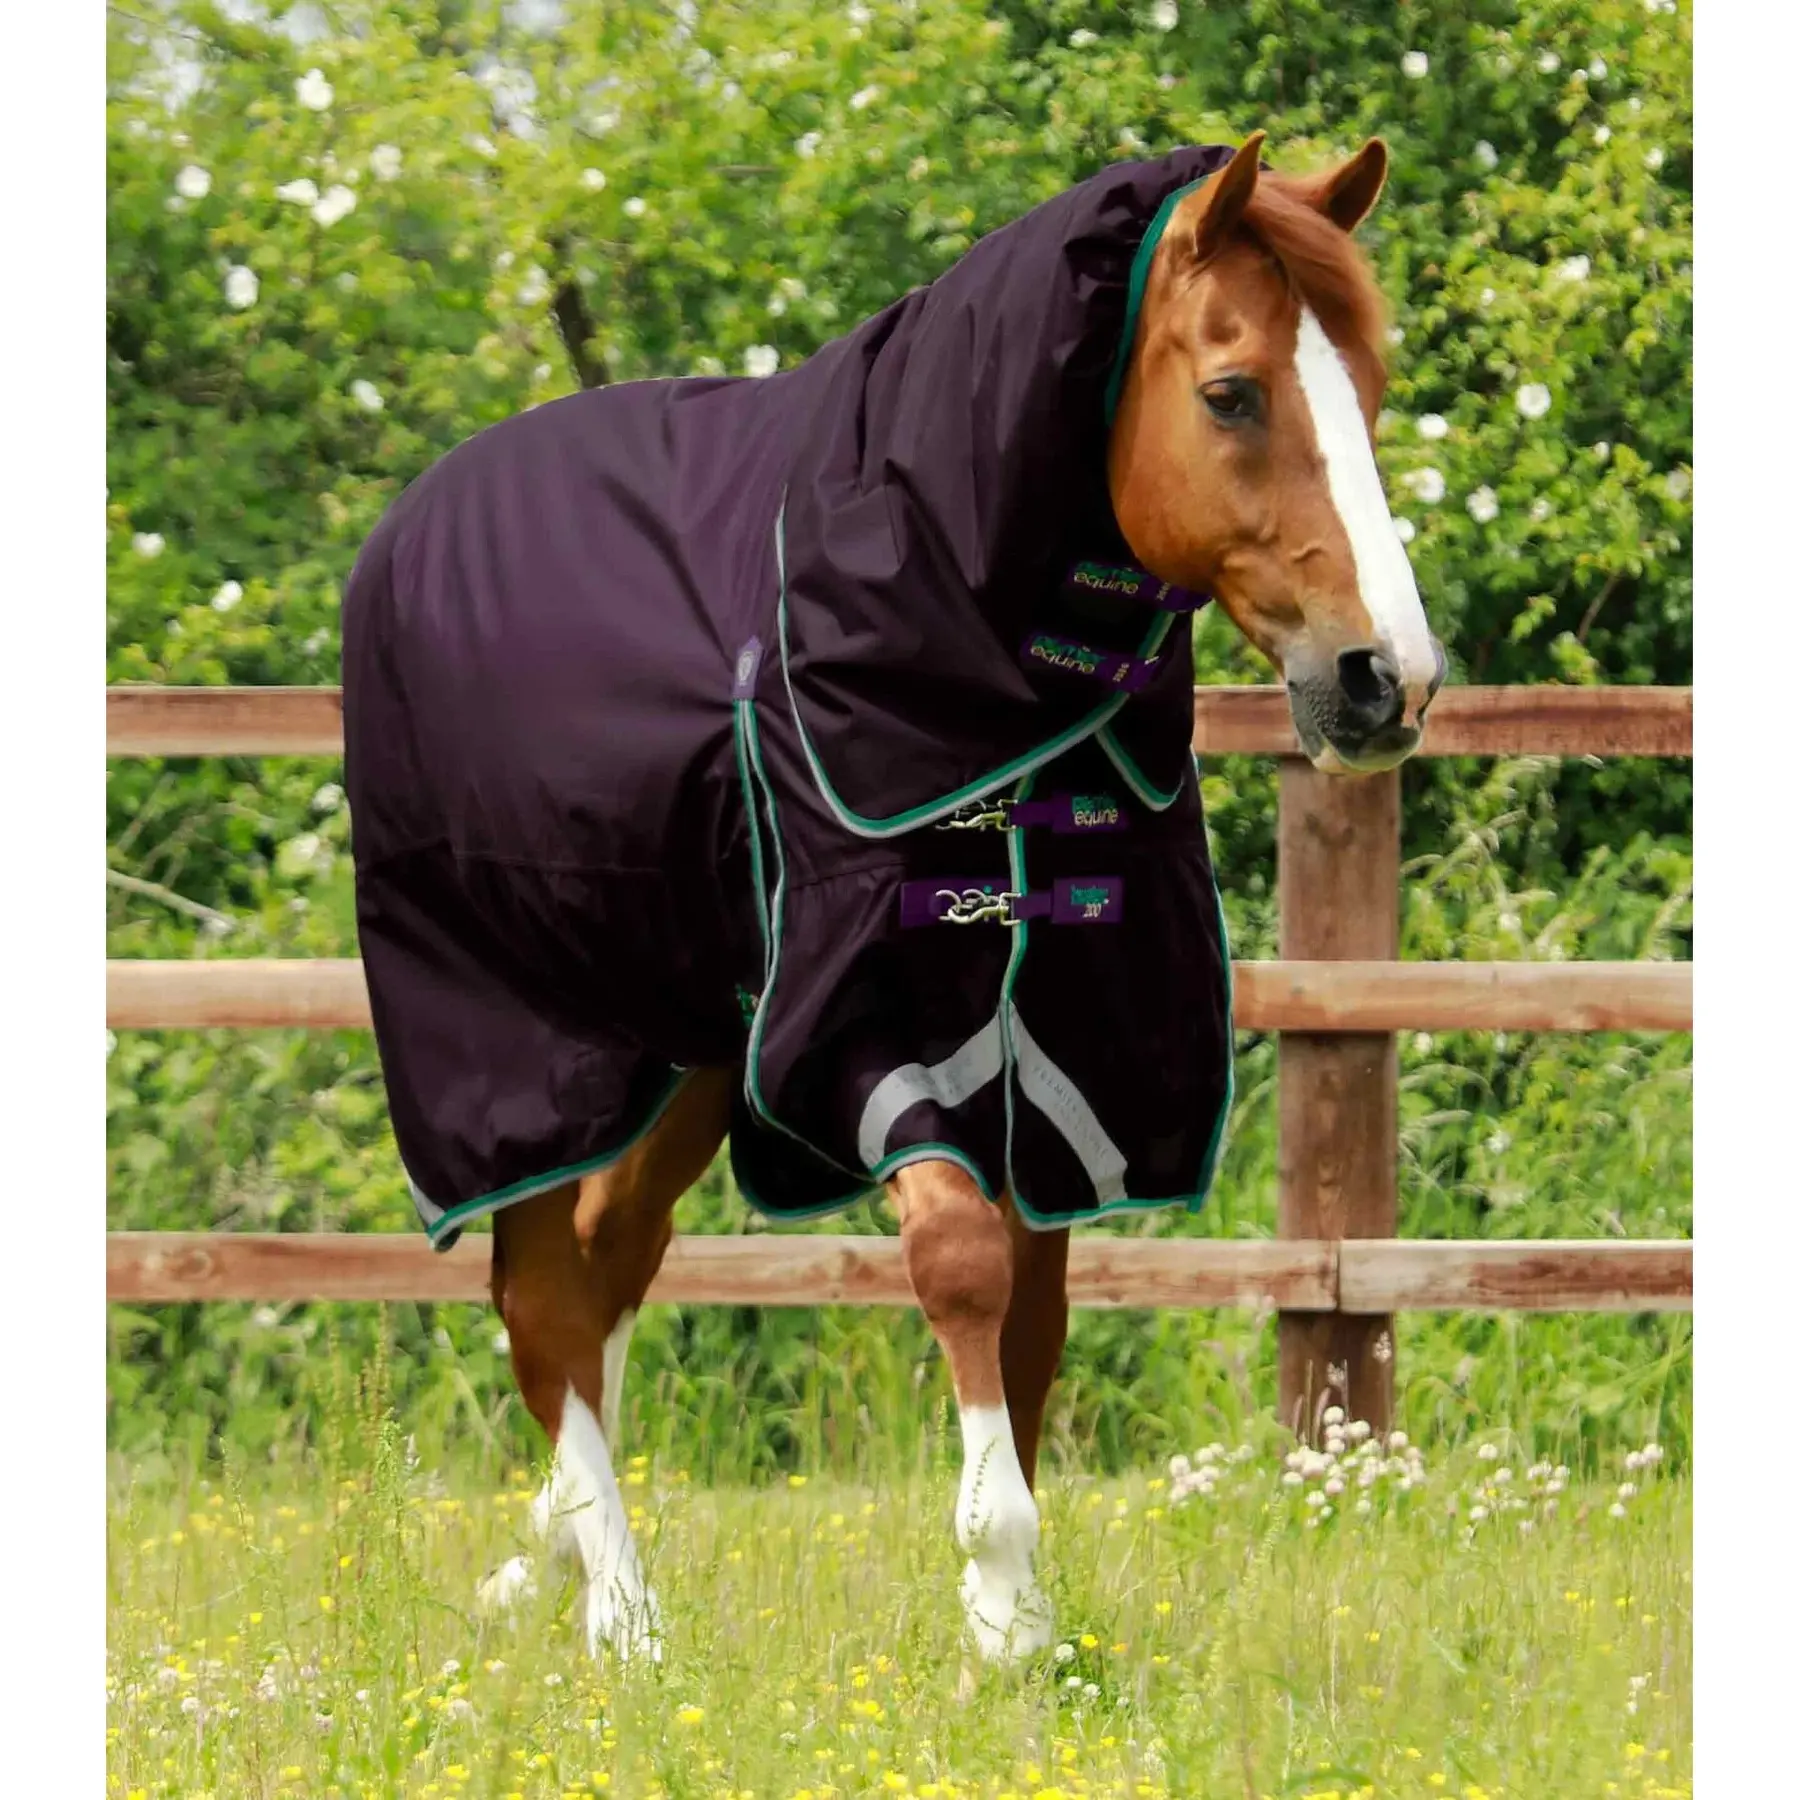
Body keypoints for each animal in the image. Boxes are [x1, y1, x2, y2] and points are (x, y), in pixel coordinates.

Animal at [340, 130, 1444, 1668]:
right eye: (1232, 392)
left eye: (1373, 385)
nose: (1386, 679)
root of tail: (409, 528)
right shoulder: (870, 1024)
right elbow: (967, 1265)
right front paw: (999, 1600)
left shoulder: (1064, 1043)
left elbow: (1037, 1316)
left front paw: (1027, 1618)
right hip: (530, 1035)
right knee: (541, 1289)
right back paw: (624, 1619)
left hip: (689, 1042)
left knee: (604, 1266)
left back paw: (552, 1565)